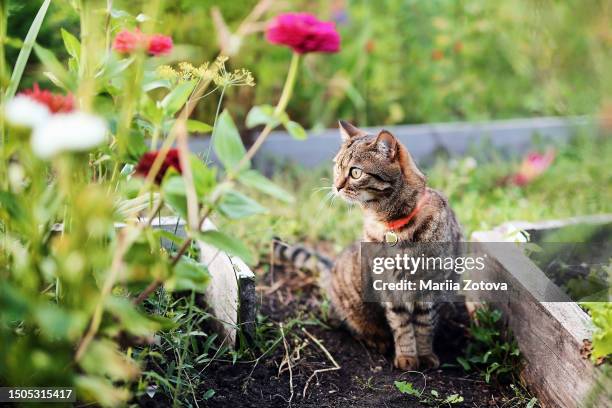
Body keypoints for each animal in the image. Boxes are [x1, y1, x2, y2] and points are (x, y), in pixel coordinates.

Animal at [274, 120, 462, 370]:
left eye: (355, 172)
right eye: (337, 167)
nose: (336, 186)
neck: (395, 227)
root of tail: (332, 269)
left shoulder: (431, 287)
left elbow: (424, 325)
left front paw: (425, 355)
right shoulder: (390, 289)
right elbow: (402, 325)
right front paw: (407, 357)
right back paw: (376, 338)